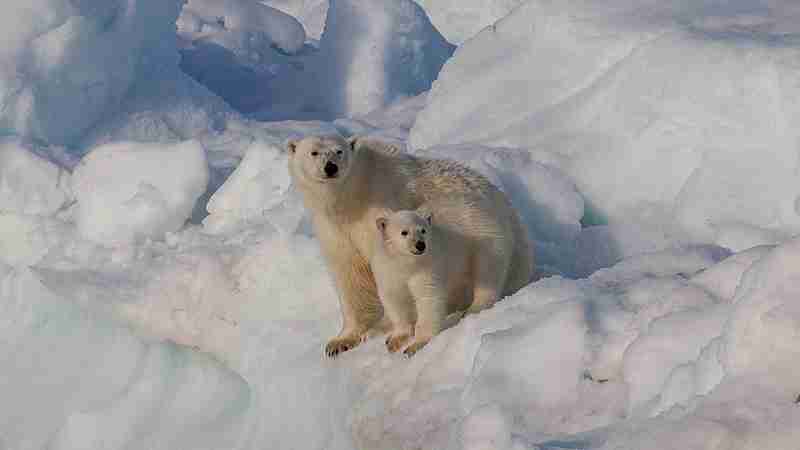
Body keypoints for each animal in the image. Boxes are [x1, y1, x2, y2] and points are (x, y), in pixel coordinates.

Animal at [284, 135, 536, 356]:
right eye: (313, 152)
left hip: (484, 229)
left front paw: (382, 329)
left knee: (487, 269)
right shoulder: (335, 229)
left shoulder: (381, 206)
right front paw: (340, 342)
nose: (330, 167)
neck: (351, 197)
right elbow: (349, 273)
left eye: (339, 151)